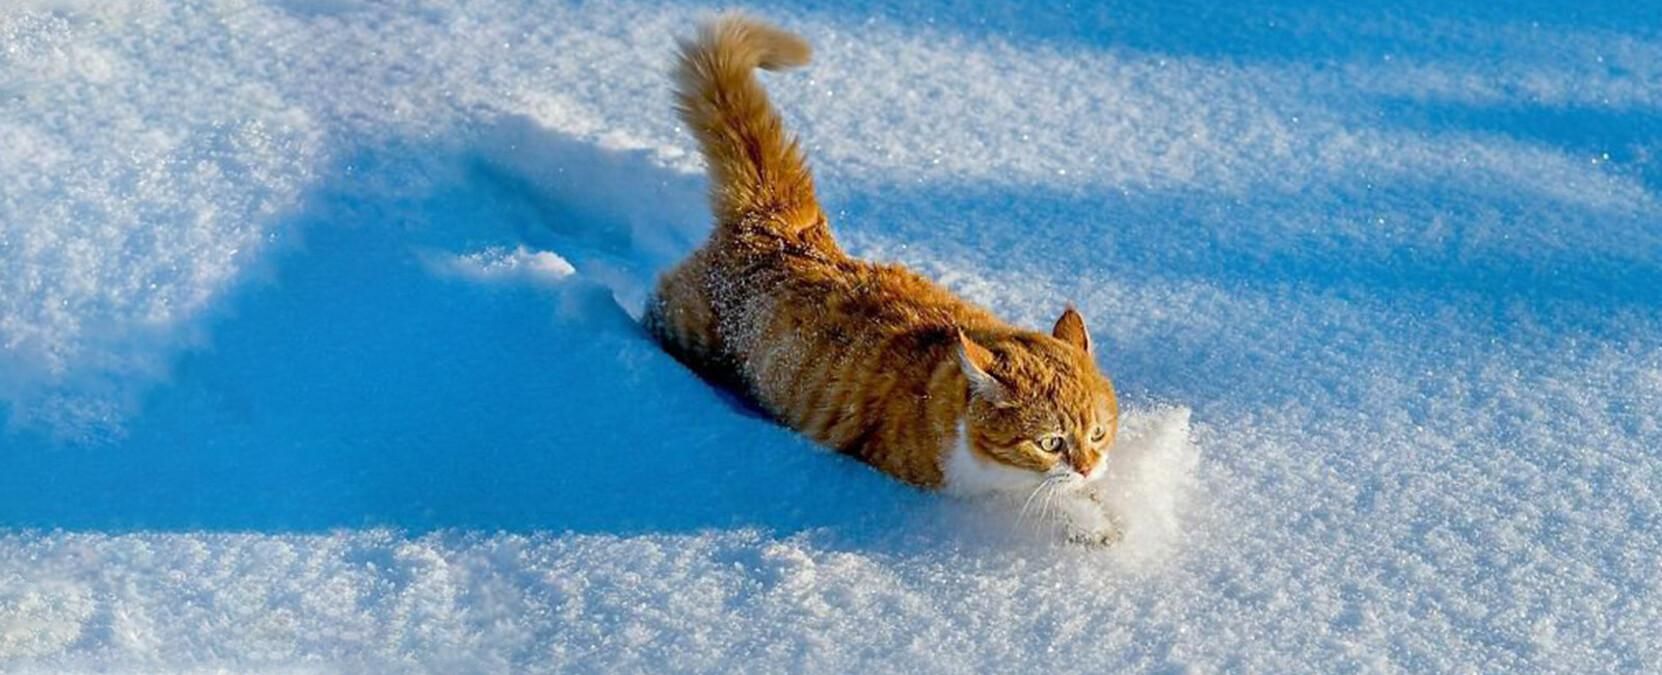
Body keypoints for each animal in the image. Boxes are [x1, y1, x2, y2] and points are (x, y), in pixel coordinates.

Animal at [641, 14, 1123, 541]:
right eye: (1051, 442)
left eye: (1098, 433)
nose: (1088, 468)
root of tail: (779, 228)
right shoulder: (955, 482)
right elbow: (1034, 502)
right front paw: (1088, 520)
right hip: (686, 324)